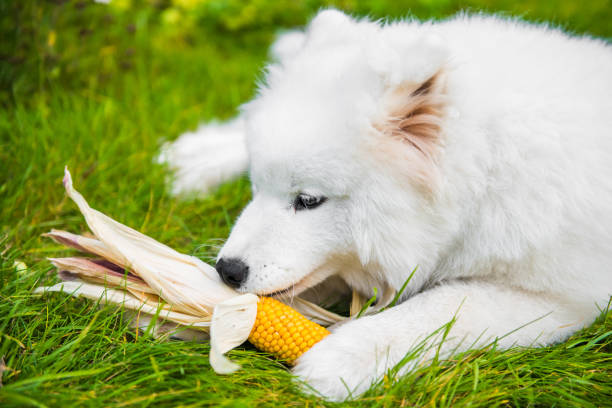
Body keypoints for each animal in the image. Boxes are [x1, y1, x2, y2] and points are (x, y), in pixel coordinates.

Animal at [161, 10, 612, 402]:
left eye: (308, 200)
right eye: (255, 189)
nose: (227, 270)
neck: (488, 170)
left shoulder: (561, 296)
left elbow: (443, 308)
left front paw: (343, 358)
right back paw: (197, 159)